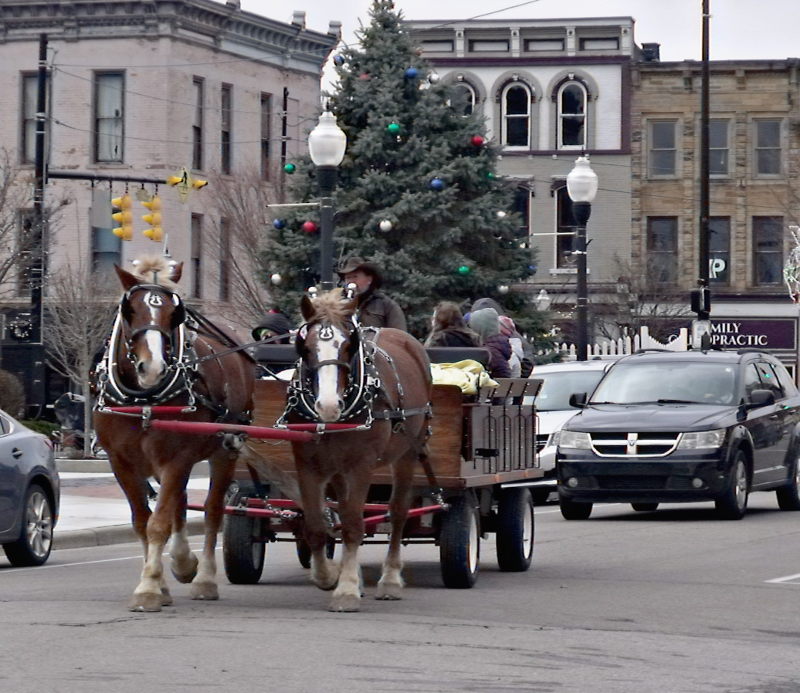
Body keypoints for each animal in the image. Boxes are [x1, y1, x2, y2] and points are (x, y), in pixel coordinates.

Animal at [95, 255, 255, 612]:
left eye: (175, 314)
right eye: (129, 310)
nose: (153, 367)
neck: (144, 399)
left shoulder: (176, 458)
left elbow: (158, 524)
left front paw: (149, 589)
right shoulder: (121, 462)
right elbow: (143, 521)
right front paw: (160, 583)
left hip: (226, 449)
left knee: (212, 511)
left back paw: (204, 579)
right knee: (180, 503)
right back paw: (182, 563)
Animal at [290, 288, 432, 612]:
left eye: (348, 347)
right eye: (306, 348)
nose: (328, 406)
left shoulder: (361, 465)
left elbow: (354, 525)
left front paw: (346, 591)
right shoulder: (307, 464)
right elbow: (317, 526)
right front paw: (328, 576)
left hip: (407, 454)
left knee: (397, 513)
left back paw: (390, 580)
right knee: (343, 512)